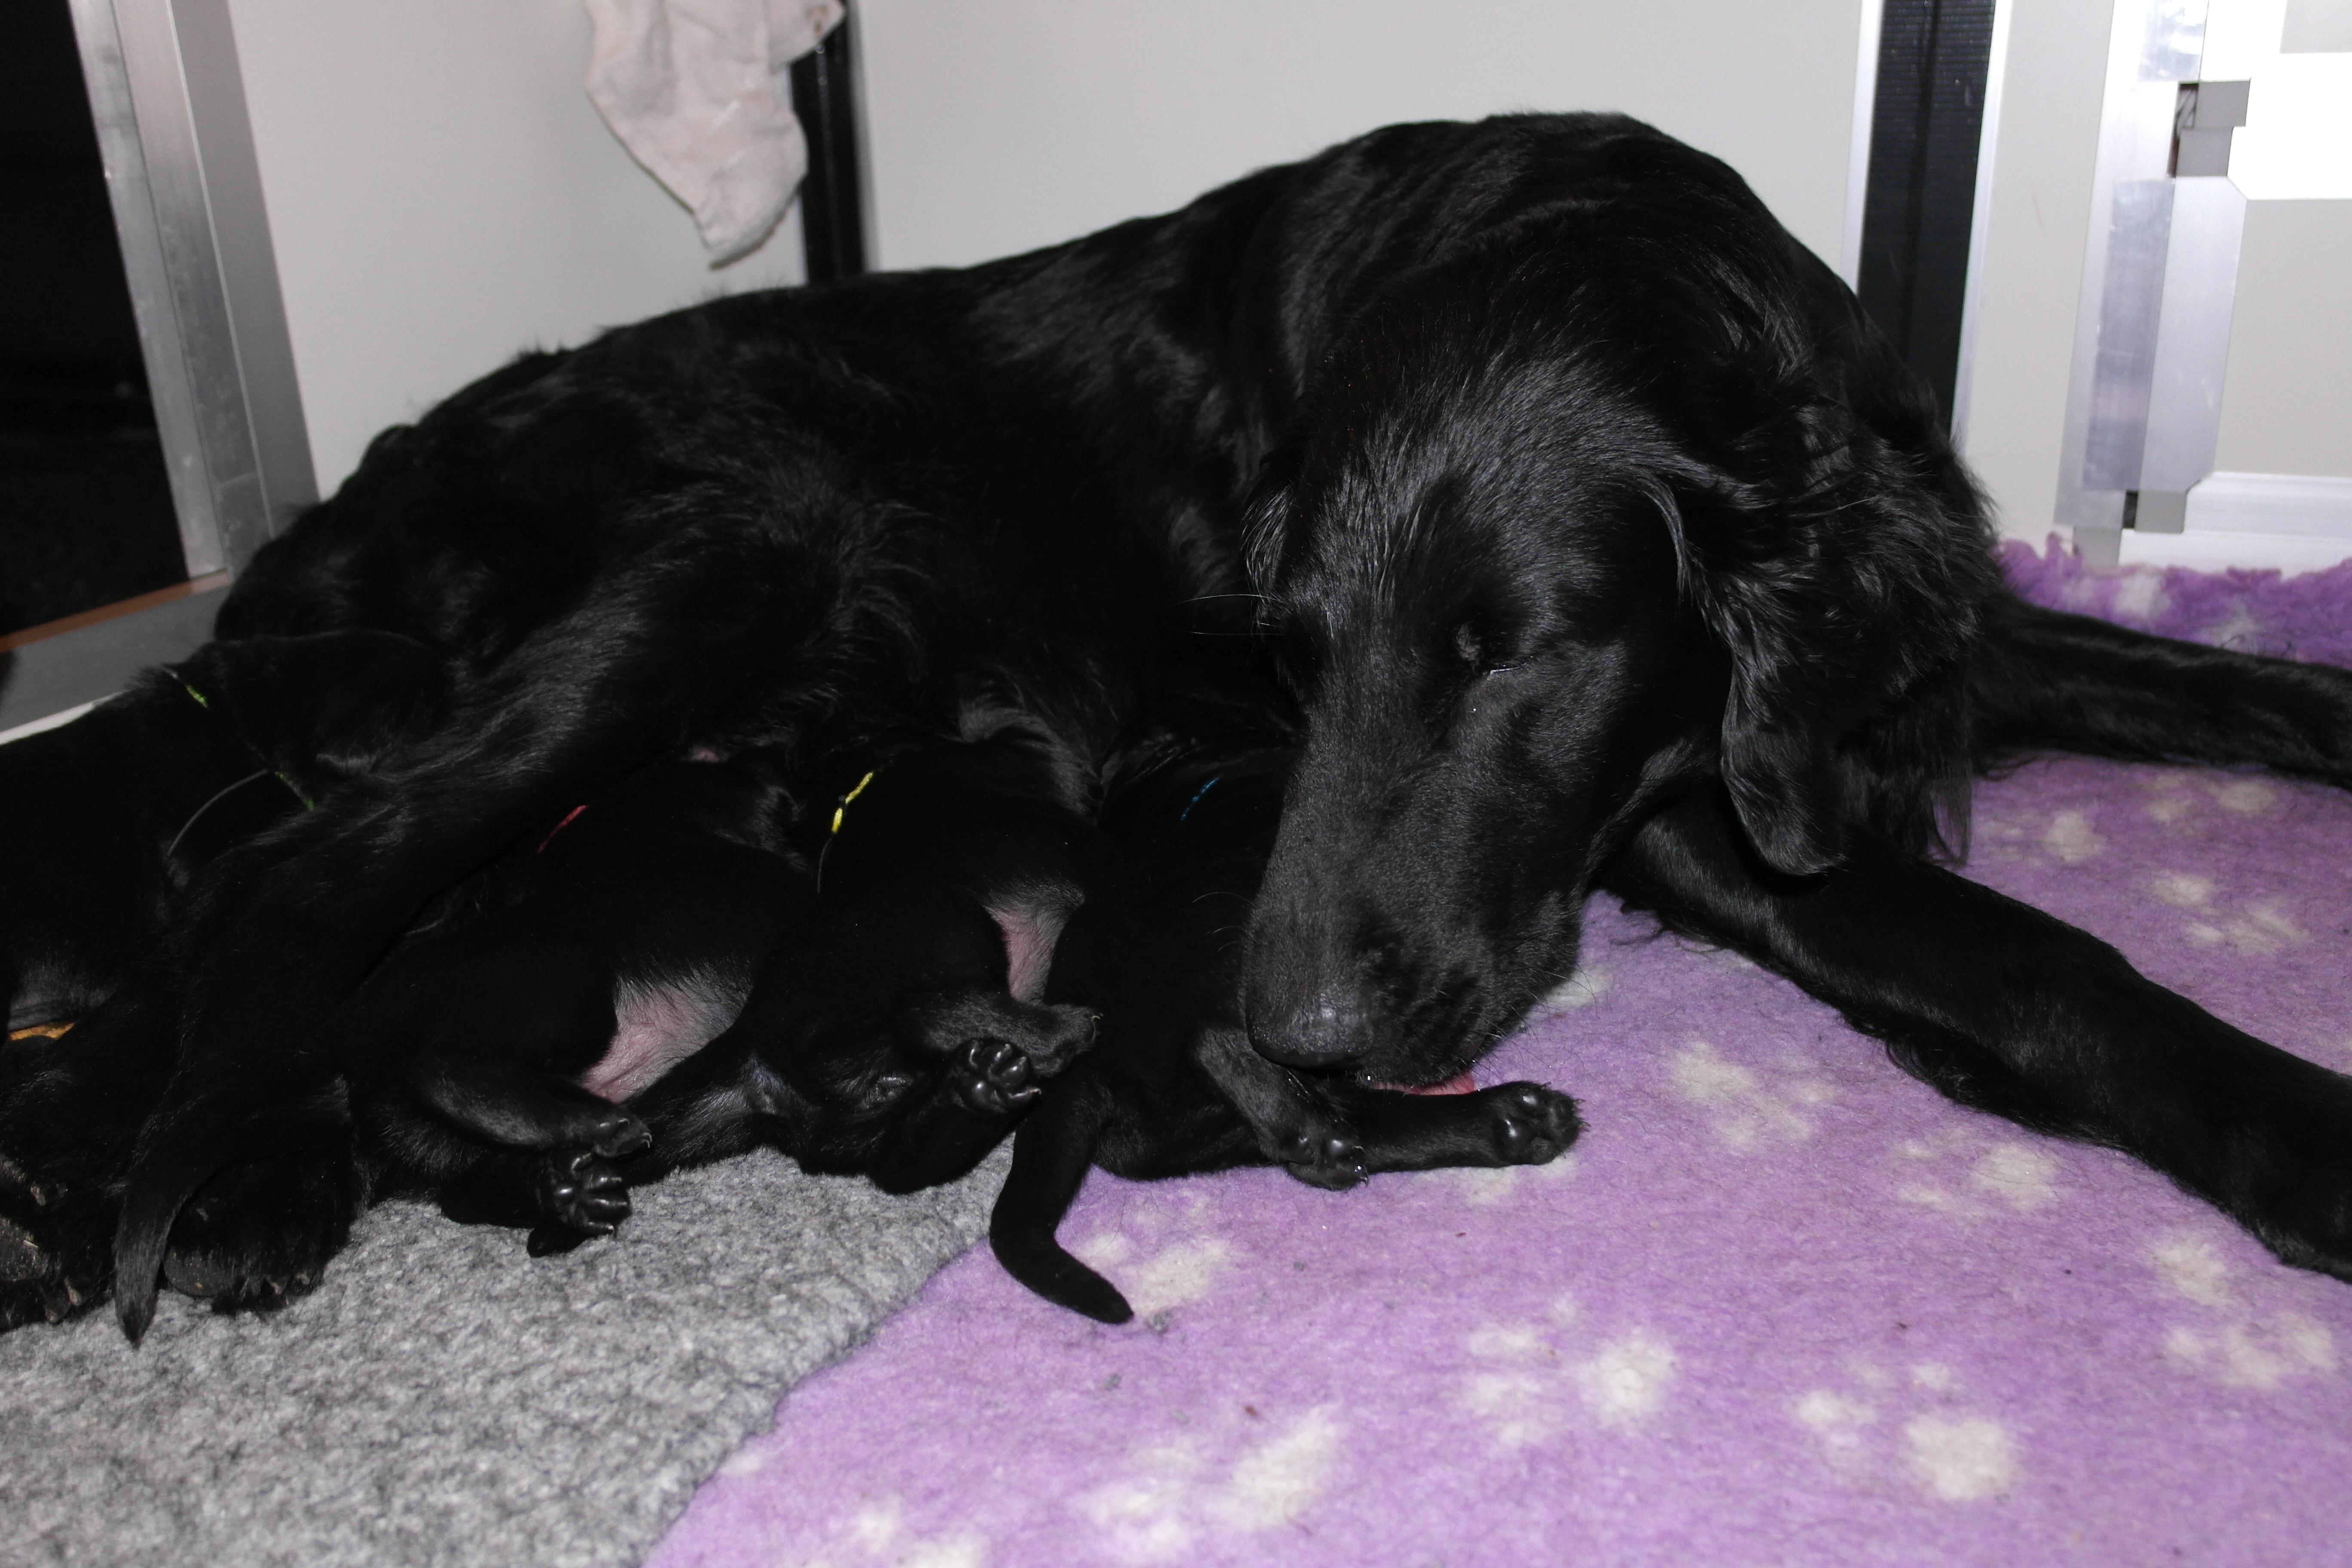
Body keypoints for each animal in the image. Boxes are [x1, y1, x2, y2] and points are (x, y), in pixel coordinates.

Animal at [991, 749, 1580, 1323]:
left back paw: (1506, 1124)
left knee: (1366, 1121)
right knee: (1218, 1038)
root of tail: (1091, 1068)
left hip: (1206, 1134)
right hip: (1240, 942)